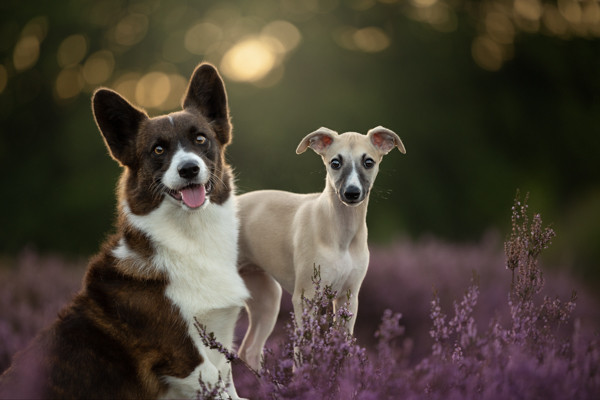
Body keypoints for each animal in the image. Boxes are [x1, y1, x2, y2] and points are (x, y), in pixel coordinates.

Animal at [0, 64, 248, 398]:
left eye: (200, 139)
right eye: (158, 149)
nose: (189, 169)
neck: (191, 237)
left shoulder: (219, 343)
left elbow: (231, 385)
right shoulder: (186, 359)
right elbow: (215, 383)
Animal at [237, 125, 406, 368]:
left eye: (368, 162)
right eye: (335, 163)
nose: (352, 193)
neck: (341, 233)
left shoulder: (349, 298)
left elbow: (343, 348)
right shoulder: (305, 298)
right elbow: (303, 352)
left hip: (267, 298)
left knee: (249, 351)